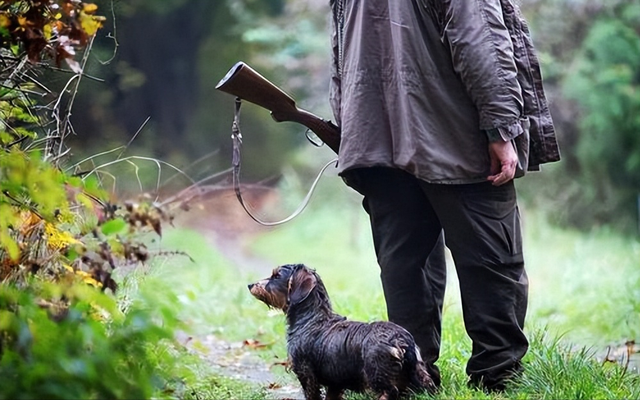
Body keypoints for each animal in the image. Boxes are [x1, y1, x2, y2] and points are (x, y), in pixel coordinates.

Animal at [248, 264, 438, 398]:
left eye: (276, 275)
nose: (250, 284)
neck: (311, 319)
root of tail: (400, 339)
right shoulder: (335, 382)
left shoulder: (306, 374)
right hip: (419, 374)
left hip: (378, 376)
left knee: (389, 392)